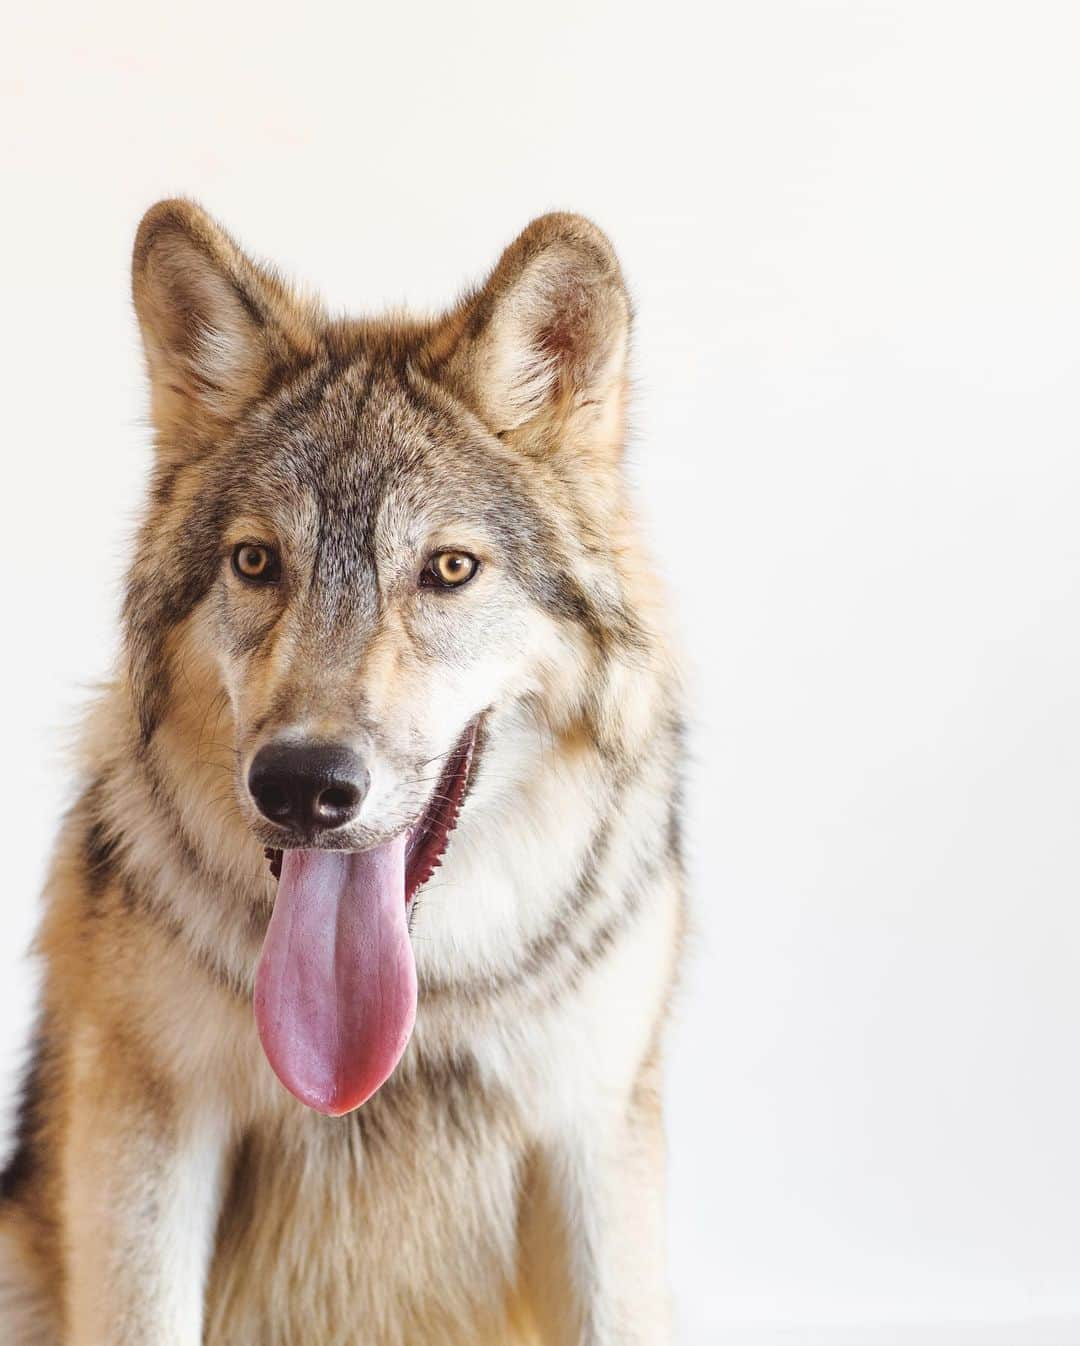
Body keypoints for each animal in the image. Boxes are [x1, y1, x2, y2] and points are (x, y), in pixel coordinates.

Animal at [0, 199, 686, 1346]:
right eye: (256, 562)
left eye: (448, 569)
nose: (301, 785)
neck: (416, 1021)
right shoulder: (145, 1136)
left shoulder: (593, 1138)